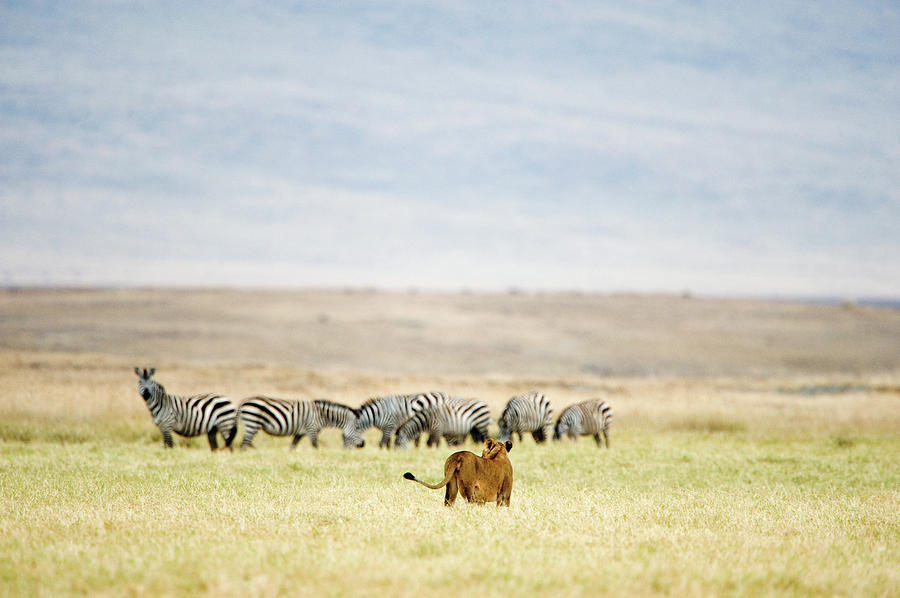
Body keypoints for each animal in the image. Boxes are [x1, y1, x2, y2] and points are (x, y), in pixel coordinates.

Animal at [239, 398, 370, 450]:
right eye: (358, 427)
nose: (363, 444)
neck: (321, 415)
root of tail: (243, 402)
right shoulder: (312, 429)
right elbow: (315, 446)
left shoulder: (300, 432)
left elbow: (293, 446)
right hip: (252, 422)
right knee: (244, 444)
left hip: (253, 424)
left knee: (247, 442)